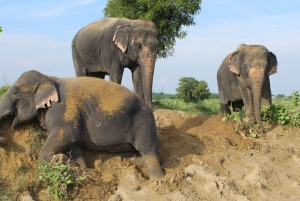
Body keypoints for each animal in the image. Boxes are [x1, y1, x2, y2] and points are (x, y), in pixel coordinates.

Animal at [0, 70, 164, 179]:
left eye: (15, 92)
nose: (5, 139)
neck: (48, 78)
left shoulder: (63, 108)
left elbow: (67, 135)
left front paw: (60, 159)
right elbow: (73, 142)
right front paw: (82, 167)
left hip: (144, 122)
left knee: (148, 150)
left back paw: (157, 180)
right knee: (131, 155)